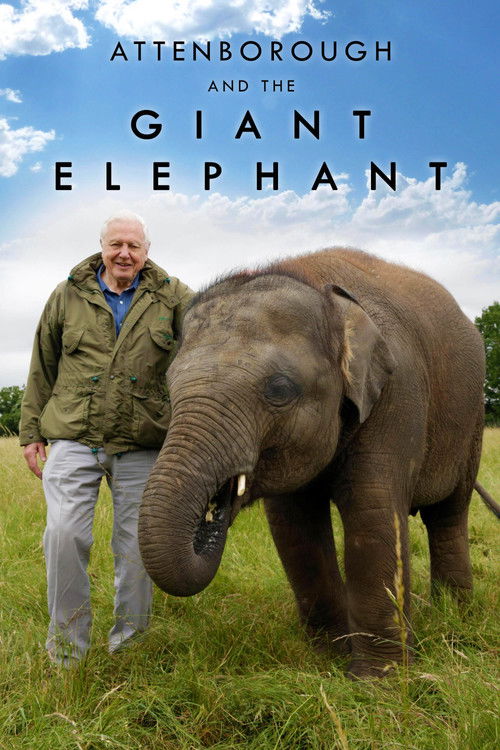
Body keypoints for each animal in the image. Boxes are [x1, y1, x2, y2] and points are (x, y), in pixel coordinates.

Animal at [138, 247, 486, 678]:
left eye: (279, 389)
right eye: (170, 390)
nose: (212, 514)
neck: (319, 288)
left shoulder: (398, 390)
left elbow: (372, 508)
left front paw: (379, 680)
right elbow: (294, 524)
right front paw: (328, 659)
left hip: (472, 422)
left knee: (449, 513)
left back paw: (454, 615)